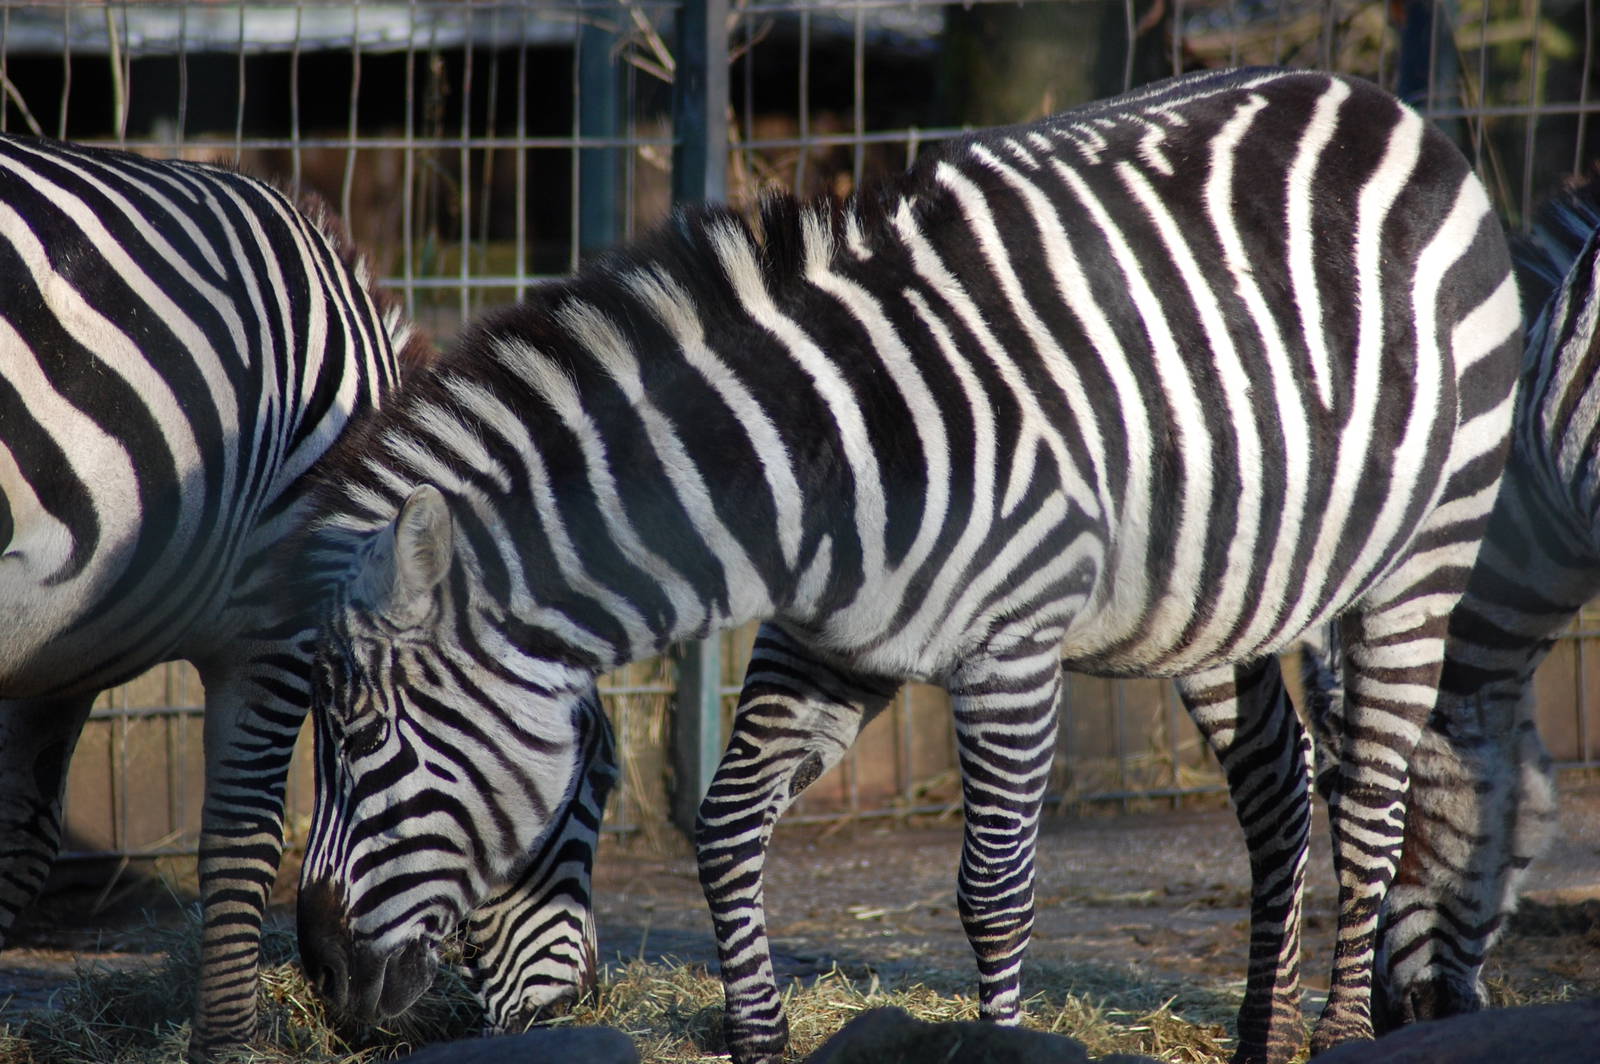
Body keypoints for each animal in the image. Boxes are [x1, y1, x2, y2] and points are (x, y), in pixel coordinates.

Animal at [0, 135, 604, 1057]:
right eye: (595, 778)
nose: (582, 1004)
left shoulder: (65, 651)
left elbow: (21, 843)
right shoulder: (275, 628)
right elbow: (245, 844)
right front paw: (228, 1044)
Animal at [291, 67, 1522, 1064]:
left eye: (364, 736)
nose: (320, 970)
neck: (809, 470)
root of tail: (1378, 101)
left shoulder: (1011, 651)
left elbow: (993, 889)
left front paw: (999, 1042)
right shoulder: (829, 641)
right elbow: (725, 827)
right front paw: (759, 1036)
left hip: (1426, 551)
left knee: (1369, 796)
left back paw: (1341, 1030)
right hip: (1218, 587)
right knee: (1277, 782)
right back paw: (1264, 1033)